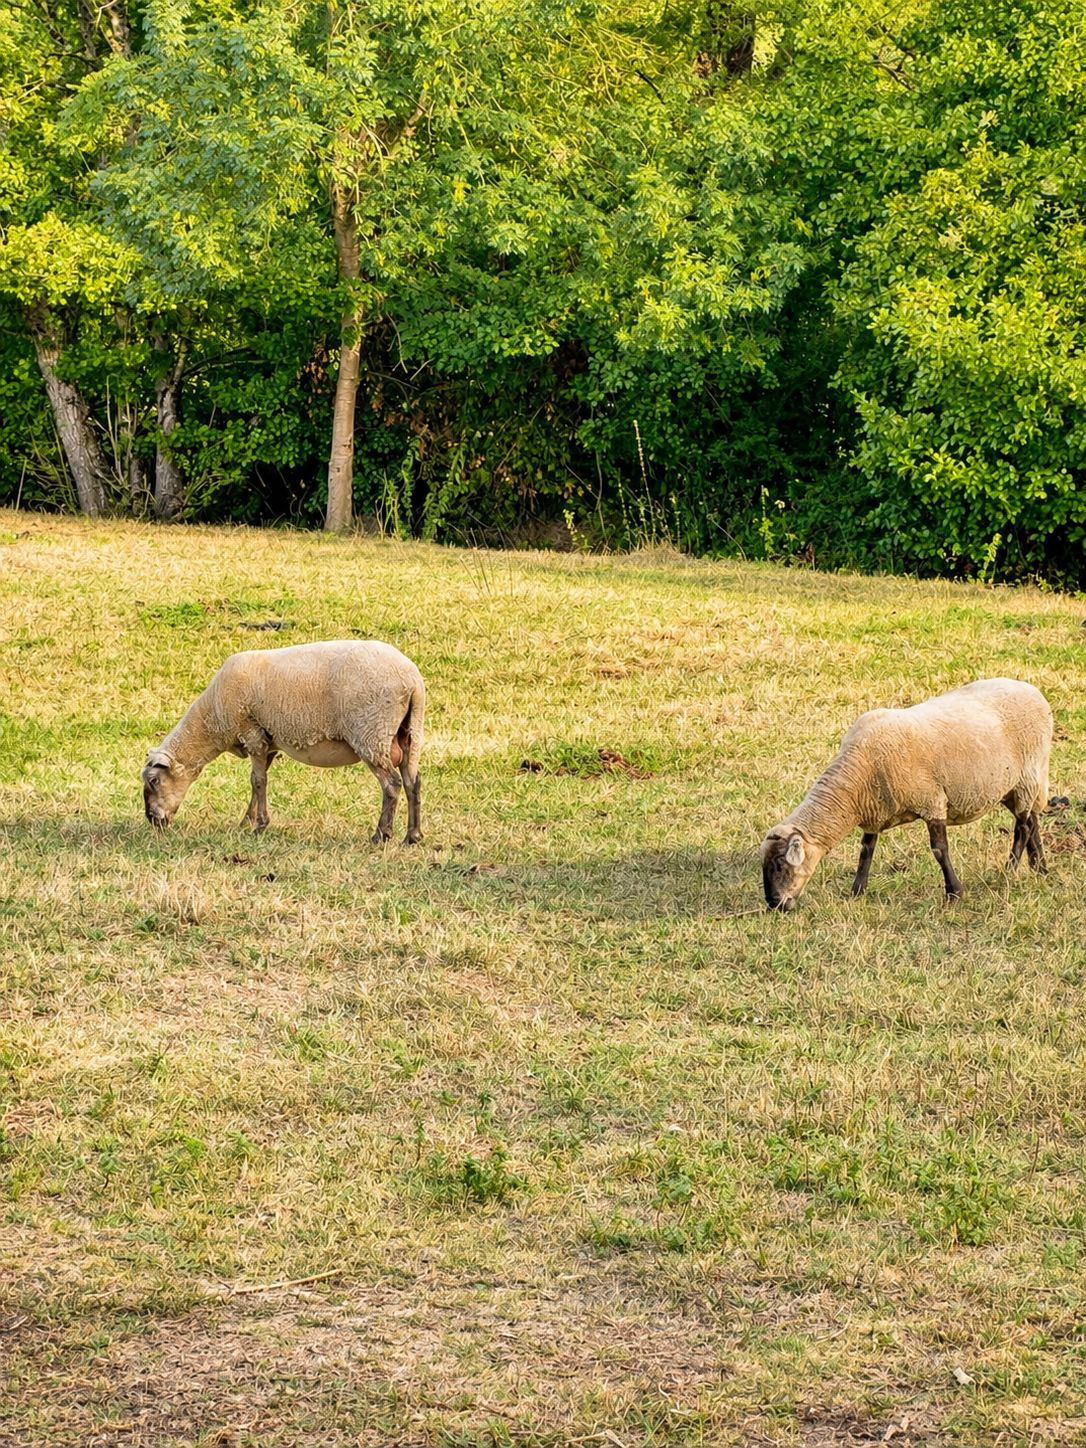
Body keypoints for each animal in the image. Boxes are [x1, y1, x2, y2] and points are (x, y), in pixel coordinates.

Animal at [142, 640, 425, 844]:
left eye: (154, 781)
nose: (153, 820)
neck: (212, 720)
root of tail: (412, 680)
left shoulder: (252, 733)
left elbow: (257, 781)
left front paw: (259, 826)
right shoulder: (267, 742)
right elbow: (257, 783)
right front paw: (247, 821)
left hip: (371, 732)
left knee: (392, 784)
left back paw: (381, 835)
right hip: (409, 733)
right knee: (412, 782)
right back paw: (412, 836)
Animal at [760, 678, 1052, 910]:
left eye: (780, 865)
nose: (775, 905)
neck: (856, 781)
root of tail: (1032, 690)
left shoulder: (933, 802)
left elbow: (939, 850)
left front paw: (954, 893)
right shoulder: (875, 810)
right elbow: (866, 851)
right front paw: (857, 892)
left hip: (1027, 775)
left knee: (1023, 826)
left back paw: (1010, 871)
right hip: (1014, 785)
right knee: (1032, 819)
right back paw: (1040, 867)